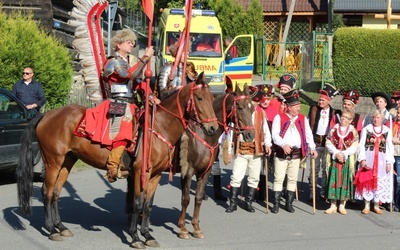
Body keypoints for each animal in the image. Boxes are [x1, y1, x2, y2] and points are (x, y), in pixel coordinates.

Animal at [17, 73, 219, 248]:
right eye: (199, 98)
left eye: (211, 98)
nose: (213, 127)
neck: (160, 127)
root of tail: (47, 115)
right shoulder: (141, 173)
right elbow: (137, 204)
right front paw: (135, 237)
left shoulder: (155, 175)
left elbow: (148, 206)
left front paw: (147, 235)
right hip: (53, 162)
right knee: (47, 192)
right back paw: (51, 230)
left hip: (67, 161)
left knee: (56, 193)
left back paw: (61, 227)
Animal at [175, 85, 253, 239]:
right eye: (240, 107)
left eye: (252, 108)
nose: (250, 135)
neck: (204, 135)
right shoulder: (188, 172)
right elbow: (185, 199)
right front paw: (183, 228)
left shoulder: (205, 171)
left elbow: (198, 198)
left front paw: (196, 227)